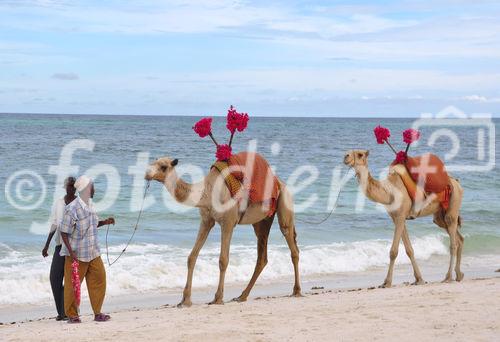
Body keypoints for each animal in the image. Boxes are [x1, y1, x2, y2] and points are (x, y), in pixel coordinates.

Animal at [145, 156, 300, 306]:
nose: (147, 174)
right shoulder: (206, 221)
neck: (208, 191)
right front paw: (185, 300)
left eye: (163, 166)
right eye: (153, 161)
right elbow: (192, 257)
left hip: (284, 203)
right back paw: (242, 296)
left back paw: (296, 291)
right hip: (261, 221)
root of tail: (280, 183)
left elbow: (223, 260)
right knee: (262, 256)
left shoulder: (228, 222)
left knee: (291, 244)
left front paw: (218, 298)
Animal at [344, 151, 464, 288]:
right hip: (439, 216)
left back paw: (448, 277)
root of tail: (457, 183)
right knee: (459, 238)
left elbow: (393, 251)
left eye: (360, 154)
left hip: (453, 204)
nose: (346, 156)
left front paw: (387, 282)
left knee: (453, 242)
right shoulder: (397, 218)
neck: (389, 191)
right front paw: (419, 279)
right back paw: (459, 275)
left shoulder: (401, 216)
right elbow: (409, 250)